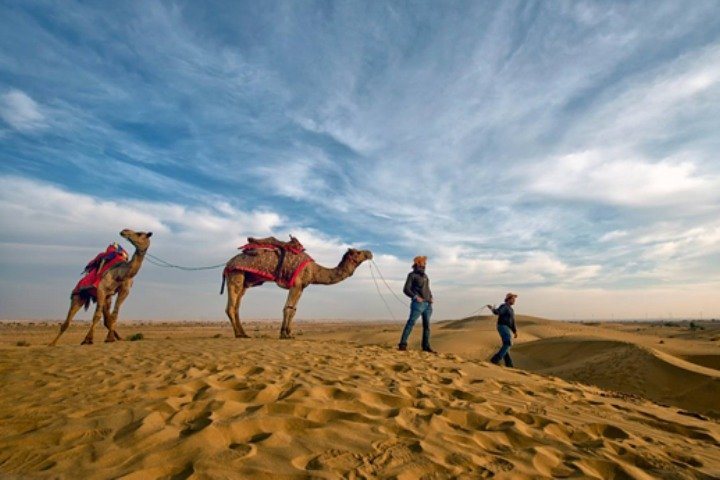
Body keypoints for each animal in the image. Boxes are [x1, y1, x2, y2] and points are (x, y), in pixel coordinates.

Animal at [223, 238, 373, 339]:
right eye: (358, 252)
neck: (314, 270)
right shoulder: (296, 284)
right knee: (231, 306)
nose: (370, 253)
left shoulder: (301, 287)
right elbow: (287, 308)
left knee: (237, 306)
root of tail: (228, 263)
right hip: (236, 274)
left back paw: (244, 333)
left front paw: (288, 333)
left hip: (245, 281)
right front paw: (284, 334)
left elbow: (293, 309)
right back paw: (238, 334)